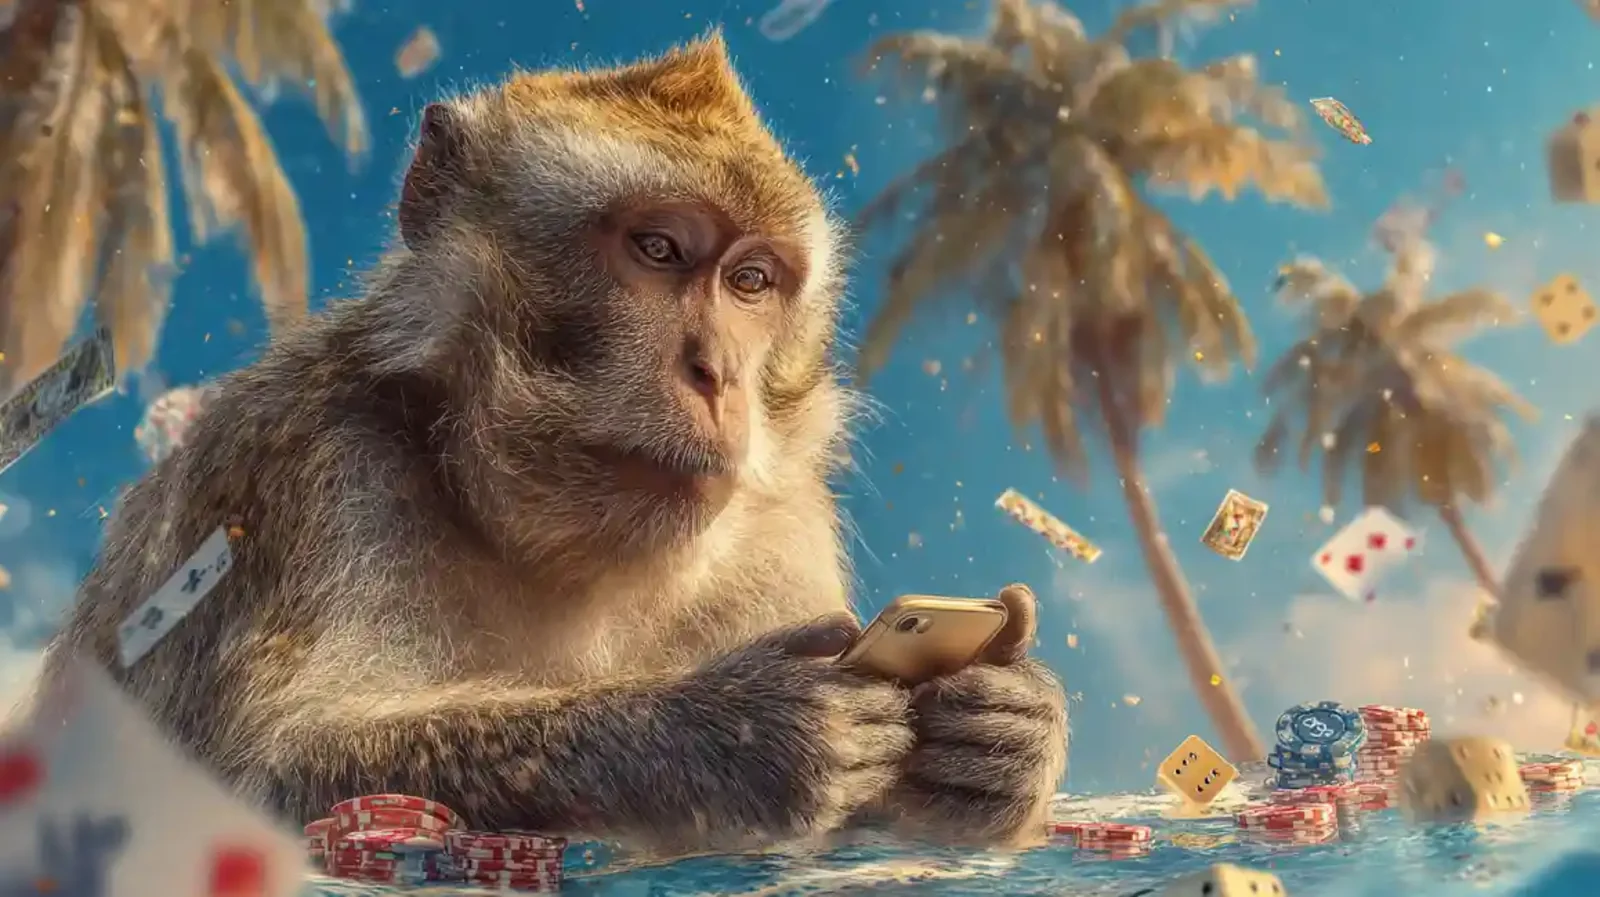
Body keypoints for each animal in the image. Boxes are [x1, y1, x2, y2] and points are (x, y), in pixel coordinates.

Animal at [46, 34, 1067, 853]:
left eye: (751, 281)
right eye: (659, 251)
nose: (716, 373)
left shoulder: (776, 527)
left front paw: (1004, 731)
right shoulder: (301, 466)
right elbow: (252, 778)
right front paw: (734, 734)